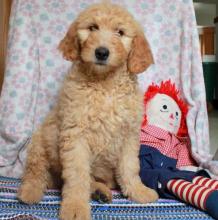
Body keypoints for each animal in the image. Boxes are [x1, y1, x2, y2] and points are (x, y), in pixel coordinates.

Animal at [18, 2, 158, 220]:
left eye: (120, 32)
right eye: (93, 28)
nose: (101, 52)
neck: (104, 84)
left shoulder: (129, 135)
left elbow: (130, 167)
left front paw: (138, 191)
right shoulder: (76, 135)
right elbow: (77, 176)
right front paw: (75, 207)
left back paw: (100, 191)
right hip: (40, 142)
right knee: (36, 171)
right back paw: (29, 192)